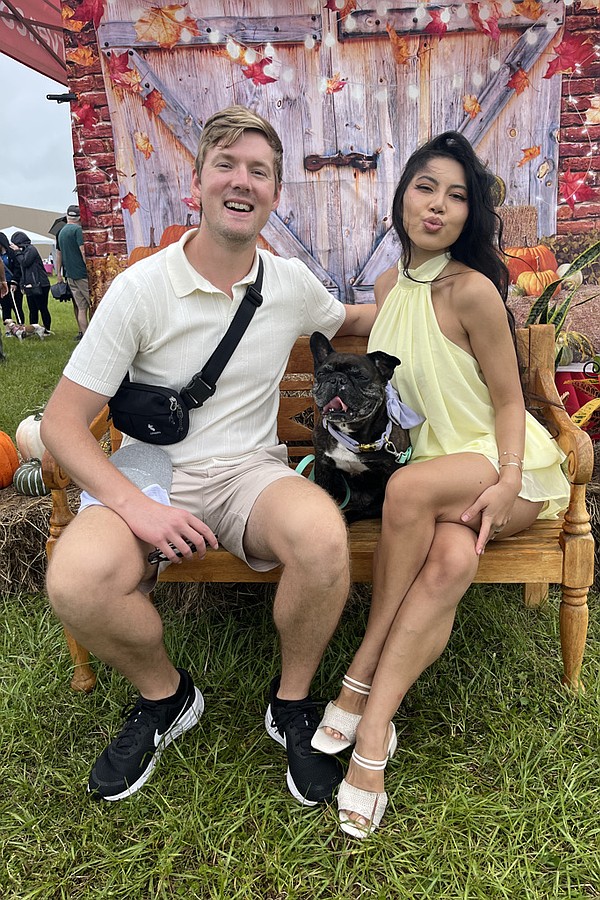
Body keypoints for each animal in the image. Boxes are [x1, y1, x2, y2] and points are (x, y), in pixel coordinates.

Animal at [309, 331, 424, 522]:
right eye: (322, 373)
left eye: (360, 377)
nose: (336, 379)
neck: (353, 436)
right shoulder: (323, 465)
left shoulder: (390, 470)